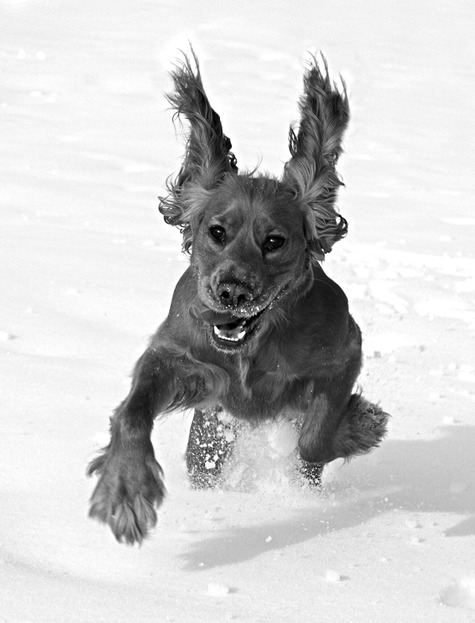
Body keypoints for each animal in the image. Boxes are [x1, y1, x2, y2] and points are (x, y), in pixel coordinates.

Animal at [87, 51, 388, 544]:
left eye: (274, 241)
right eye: (217, 232)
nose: (232, 292)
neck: (253, 344)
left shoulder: (345, 350)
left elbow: (314, 439)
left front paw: (360, 425)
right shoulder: (177, 355)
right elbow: (132, 412)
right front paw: (126, 490)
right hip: (207, 440)